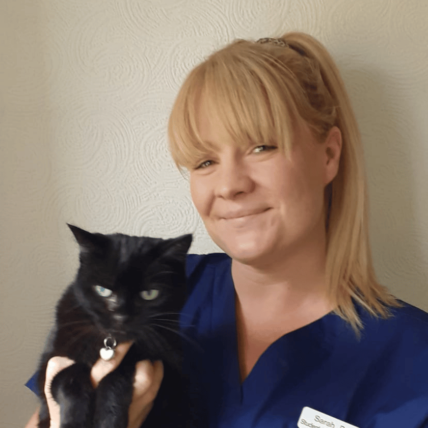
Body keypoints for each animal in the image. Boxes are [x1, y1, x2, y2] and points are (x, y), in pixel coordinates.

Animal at [36, 224, 193, 428]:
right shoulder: (50, 364)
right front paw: (74, 421)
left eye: (150, 294)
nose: (121, 316)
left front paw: (109, 420)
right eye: (103, 290)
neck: (110, 342)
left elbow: (116, 376)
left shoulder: (168, 372)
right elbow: (69, 378)